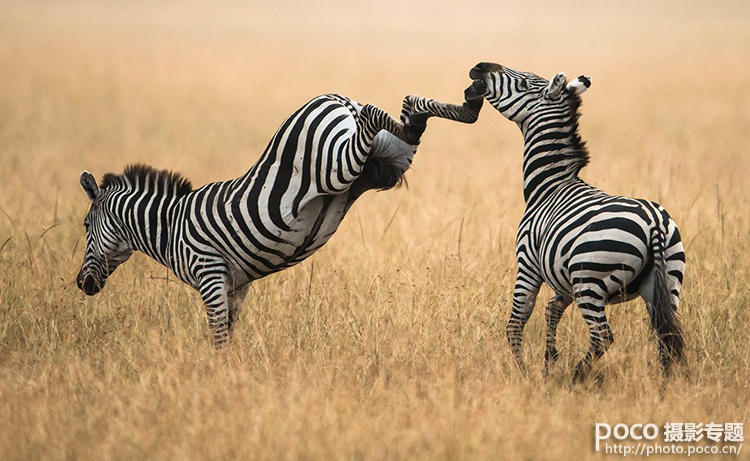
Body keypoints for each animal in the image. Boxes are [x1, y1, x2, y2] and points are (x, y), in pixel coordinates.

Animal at [76, 85, 488, 344]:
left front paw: (216, 380)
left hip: (335, 163)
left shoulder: (209, 274)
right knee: (411, 113)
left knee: (376, 114)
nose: (81, 284)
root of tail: (336, 98)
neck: (170, 226)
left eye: (84, 225)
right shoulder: (236, 285)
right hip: (390, 159)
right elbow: (229, 336)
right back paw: (469, 104)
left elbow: (217, 337)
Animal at [472, 61, 692, 380]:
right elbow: (551, 310)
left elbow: (518, 319)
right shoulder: (562, 279)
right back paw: (665, 385)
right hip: (666, 280)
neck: (550, 185)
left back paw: (578, 375)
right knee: (666, 336)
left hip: (590, 280)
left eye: (524, 84)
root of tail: (654, 223)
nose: (480, 67)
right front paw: (548, 362)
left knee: (603, 337)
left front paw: (523, 372)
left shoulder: (528, 263)